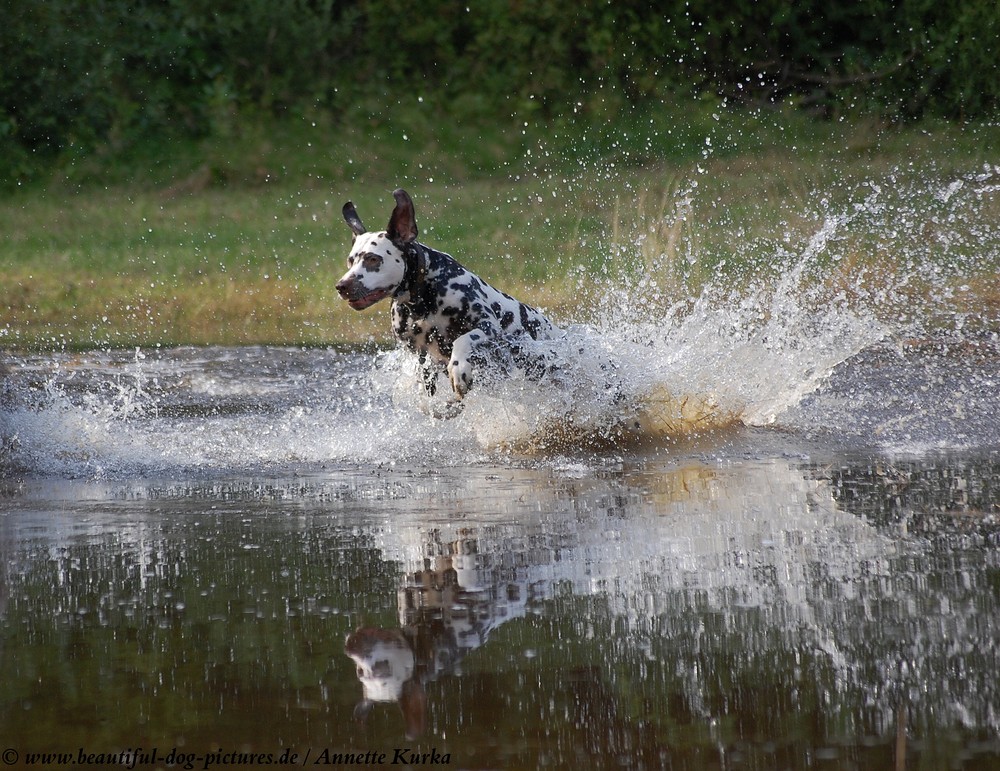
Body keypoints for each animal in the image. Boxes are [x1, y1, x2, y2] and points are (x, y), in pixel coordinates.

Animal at [334, 189, 556, 408]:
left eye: (372, 259)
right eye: (350, 261)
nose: (341, 286)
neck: (422, 302)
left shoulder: (487, 326)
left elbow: (462, 340)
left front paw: (459, 369)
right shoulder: (423, 359)